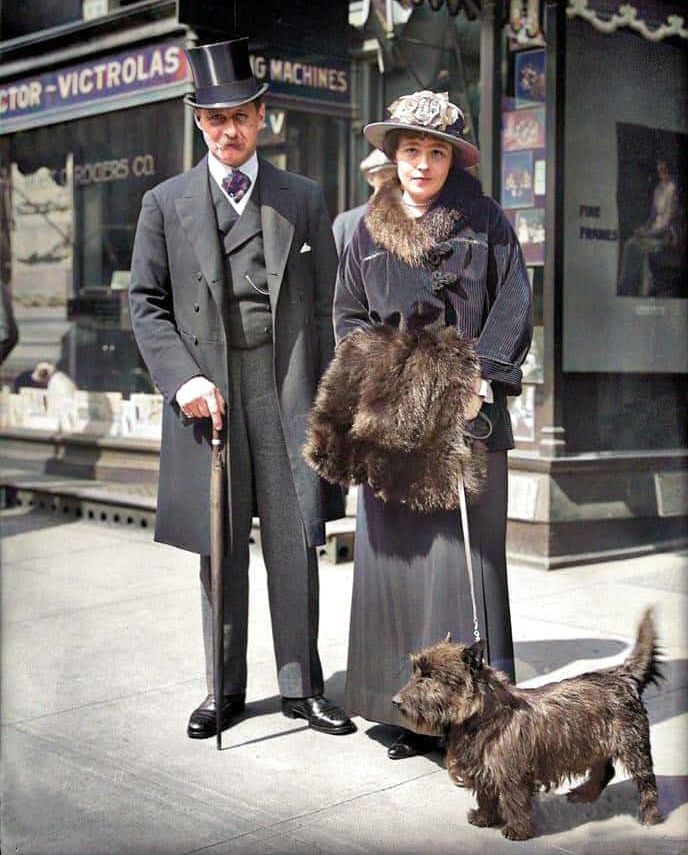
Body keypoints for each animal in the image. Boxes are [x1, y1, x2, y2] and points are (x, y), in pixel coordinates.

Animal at [396, 608, 664, 844]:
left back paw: (651, 817)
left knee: (647, 783)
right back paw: (584, 794)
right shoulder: (483, 769)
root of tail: (622, 676)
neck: (481, 717)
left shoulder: (510, 772)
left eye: (429, 677)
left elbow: (514, 800)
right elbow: (485, 796)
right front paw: (484, 818)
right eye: (416, 671)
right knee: (604, 771)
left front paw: (517, 830)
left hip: (633, 747)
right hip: (594, 744)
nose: (396, 701)